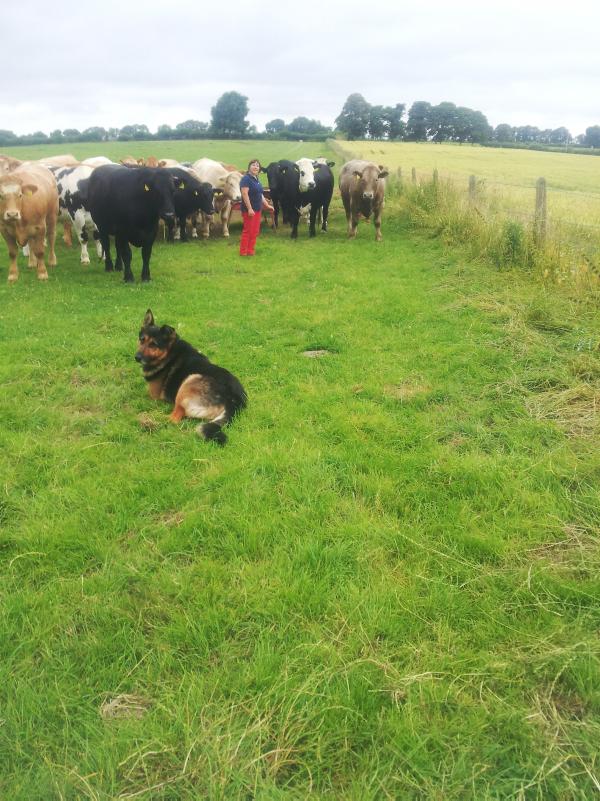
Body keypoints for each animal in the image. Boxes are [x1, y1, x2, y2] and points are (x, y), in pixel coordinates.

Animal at [135, 309, 247, 444]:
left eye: (153, 344)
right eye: (142, 340)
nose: (137, 357)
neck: (169, 353)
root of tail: (234, 401)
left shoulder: (153, 396)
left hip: (189, 381)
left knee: (175, 417)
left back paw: (154, 420)